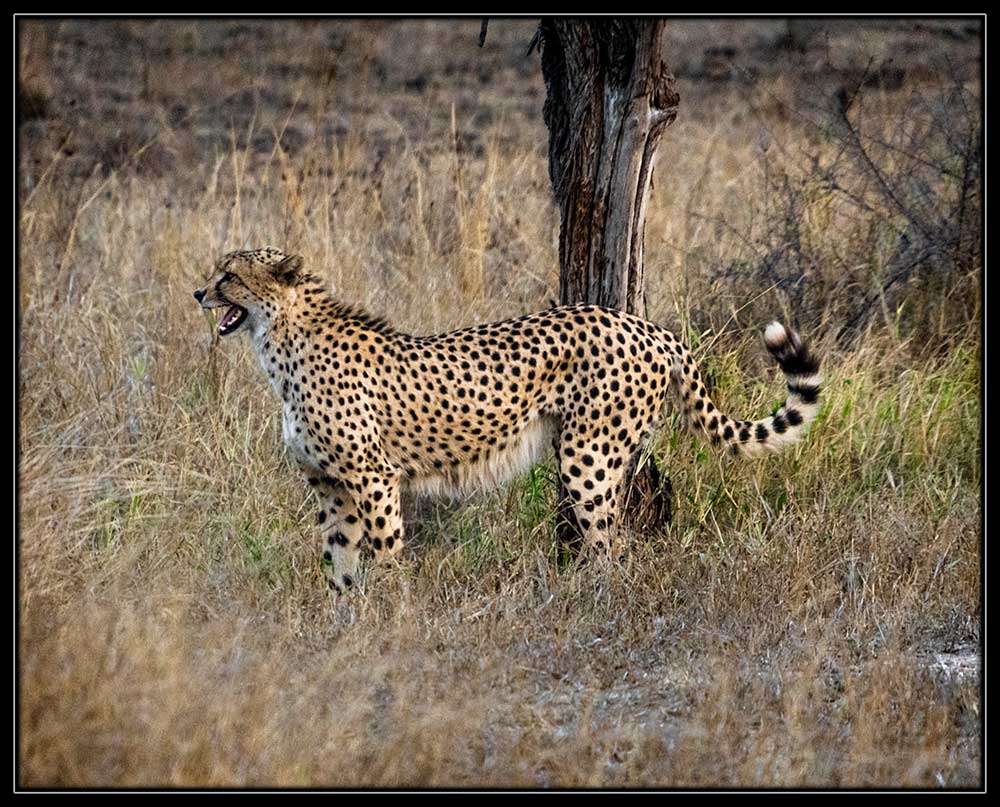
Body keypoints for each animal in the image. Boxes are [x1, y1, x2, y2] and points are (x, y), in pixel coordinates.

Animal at [193, 249, 820, 596]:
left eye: (230, 275)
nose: (199, 291)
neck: (281, 342)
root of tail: (649, 327)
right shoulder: (330, 486)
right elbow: (339, 561)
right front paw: (344, 628)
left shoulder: (373, 479)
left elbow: (386, 555)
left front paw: (392, 618)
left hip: (588, 458)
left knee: (613, 547)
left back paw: (598, 608)